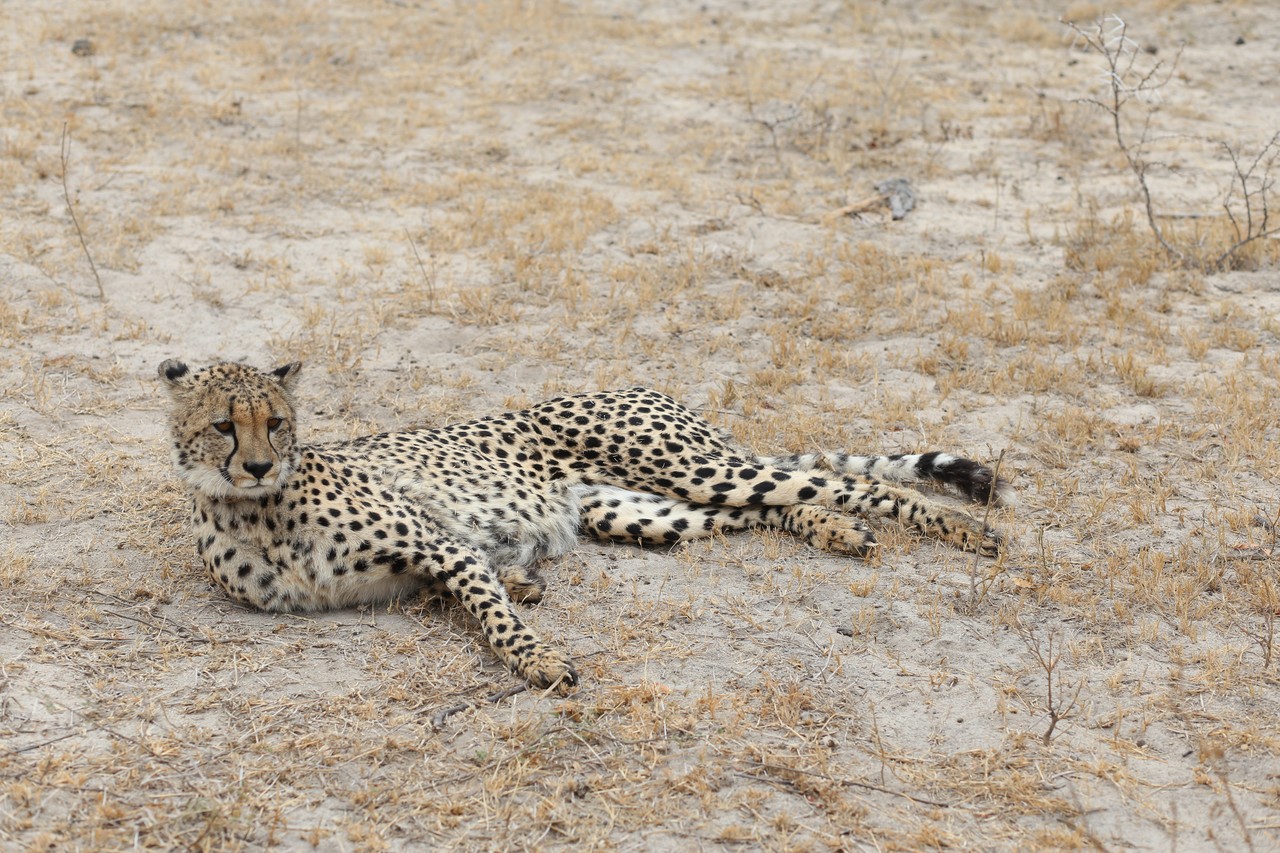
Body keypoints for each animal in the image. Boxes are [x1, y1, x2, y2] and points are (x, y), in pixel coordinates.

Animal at [158, 359, 1010, 693]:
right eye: (223, 425)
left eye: (274, 421)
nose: (259, 464)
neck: (255, 511)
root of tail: (636, 386)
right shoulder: (422, 565)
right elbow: (474, 594)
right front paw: (527, 589)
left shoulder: (442, 541)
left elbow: (492, 615)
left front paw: (540, 660)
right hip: (643, 510)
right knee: (766, 508)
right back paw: (839, 533)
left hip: (692, 467)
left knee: (850, 479)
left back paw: (970, 531)